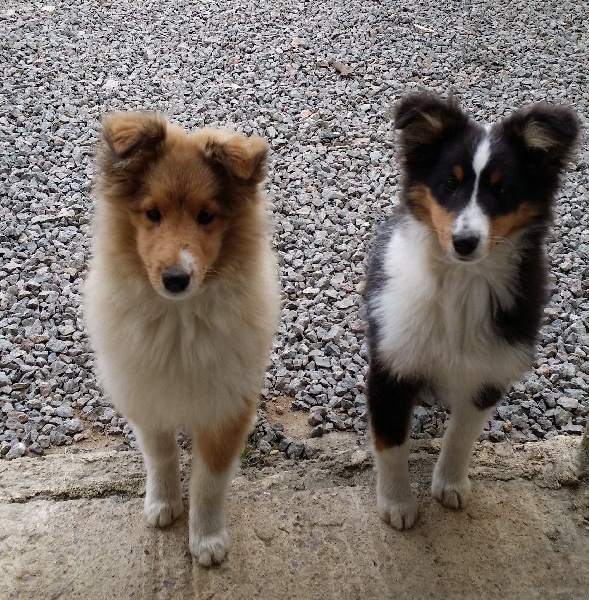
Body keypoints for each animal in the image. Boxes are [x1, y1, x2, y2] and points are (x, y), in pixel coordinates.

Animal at [83, 112, 282, 564]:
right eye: (152, 213)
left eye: (206, 217)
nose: (176, 279)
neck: (179, 321)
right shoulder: (147, 393)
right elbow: (160, 454)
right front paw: (162, 504)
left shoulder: (225, 407)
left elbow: (209, 481)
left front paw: (206, 540)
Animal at [366, 91, 576, 528]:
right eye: (450, 183)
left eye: (503, 191)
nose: (464, 242)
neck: (461, 283)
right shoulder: (392, 364)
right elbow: (391, 443)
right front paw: (397, 504)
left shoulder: (490, 369)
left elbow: (462, 435)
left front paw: (449, 484)